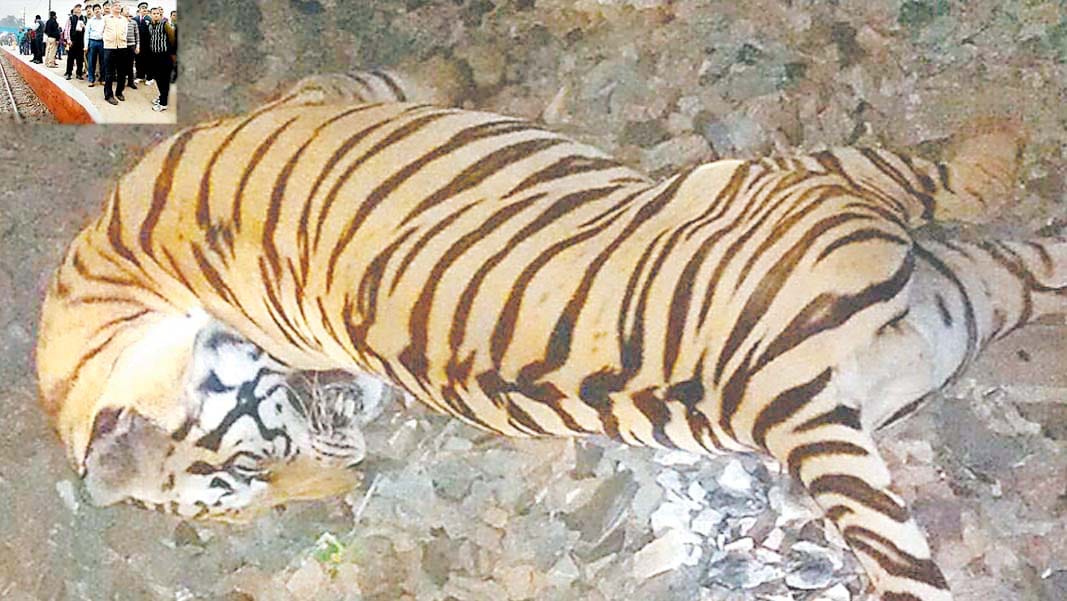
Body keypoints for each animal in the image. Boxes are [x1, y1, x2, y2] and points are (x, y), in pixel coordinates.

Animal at [34, 69, 1067, 601]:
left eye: (260, 461)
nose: (349, 472)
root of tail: (784, 408)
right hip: (827, 197)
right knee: (949, 183)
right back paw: (1001, 136)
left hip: (956, 288)